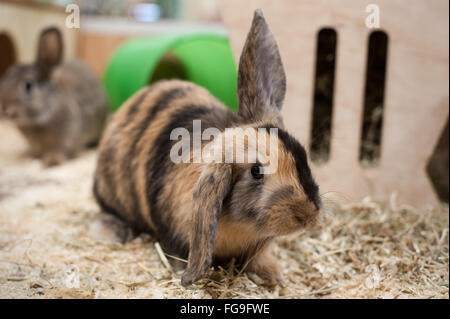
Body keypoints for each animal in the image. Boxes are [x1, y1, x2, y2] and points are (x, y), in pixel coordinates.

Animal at [0, 27, 108, 168]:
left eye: (28, 85)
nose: (3, 107)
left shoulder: (67, 137)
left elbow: (60, 150)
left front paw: (51, 161)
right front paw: (34, 157)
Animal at [94, 9, 320, 288]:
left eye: (303, 155)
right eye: (256, 171)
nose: (308, 216)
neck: (239, 225)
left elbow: (257, 258)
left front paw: (273, 275)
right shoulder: (175, 238)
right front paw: (185, 276)